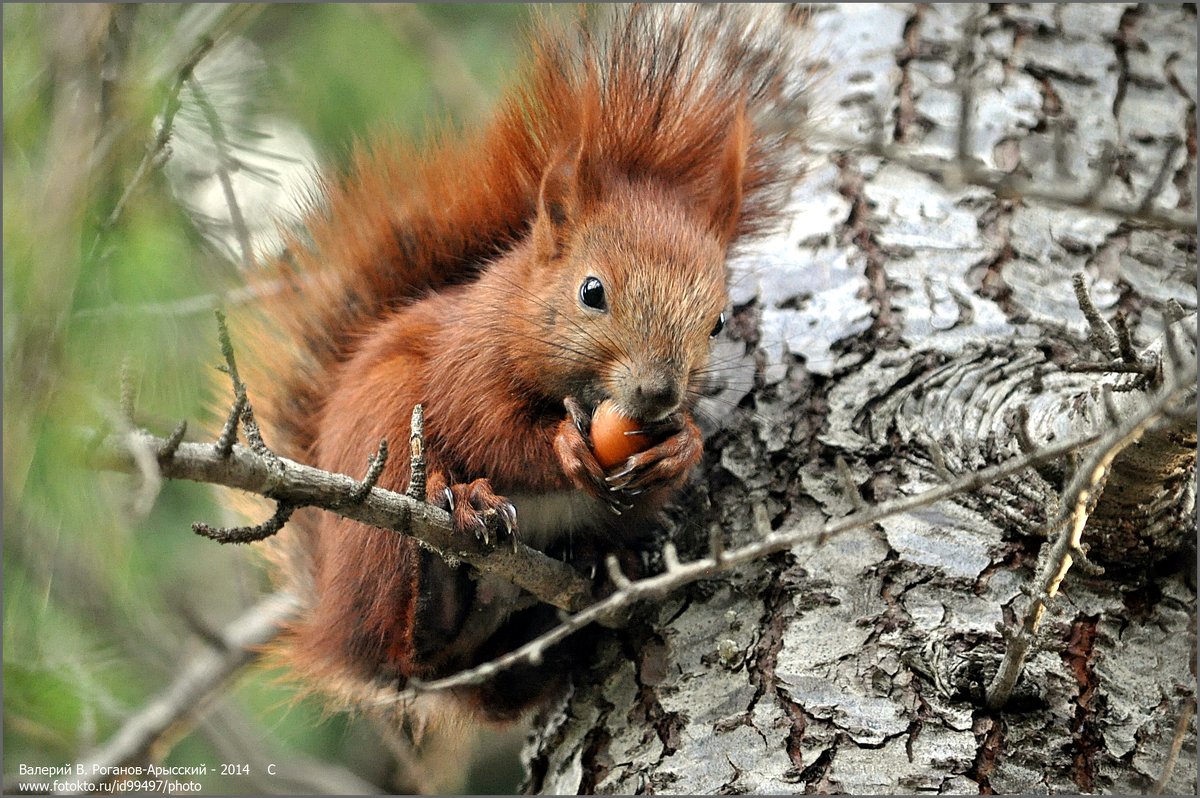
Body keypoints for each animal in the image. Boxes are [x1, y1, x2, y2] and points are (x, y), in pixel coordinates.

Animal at [236, 1, 806, 720]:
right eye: (592, 292)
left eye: (718, 321)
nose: (656, 394)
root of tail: (332, 623)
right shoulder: (466, 359)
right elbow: (486, 426)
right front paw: (562, 448)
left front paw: (680, 448)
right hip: (382, 449)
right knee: (408, 647)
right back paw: (450, 548)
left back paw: (594, 570)